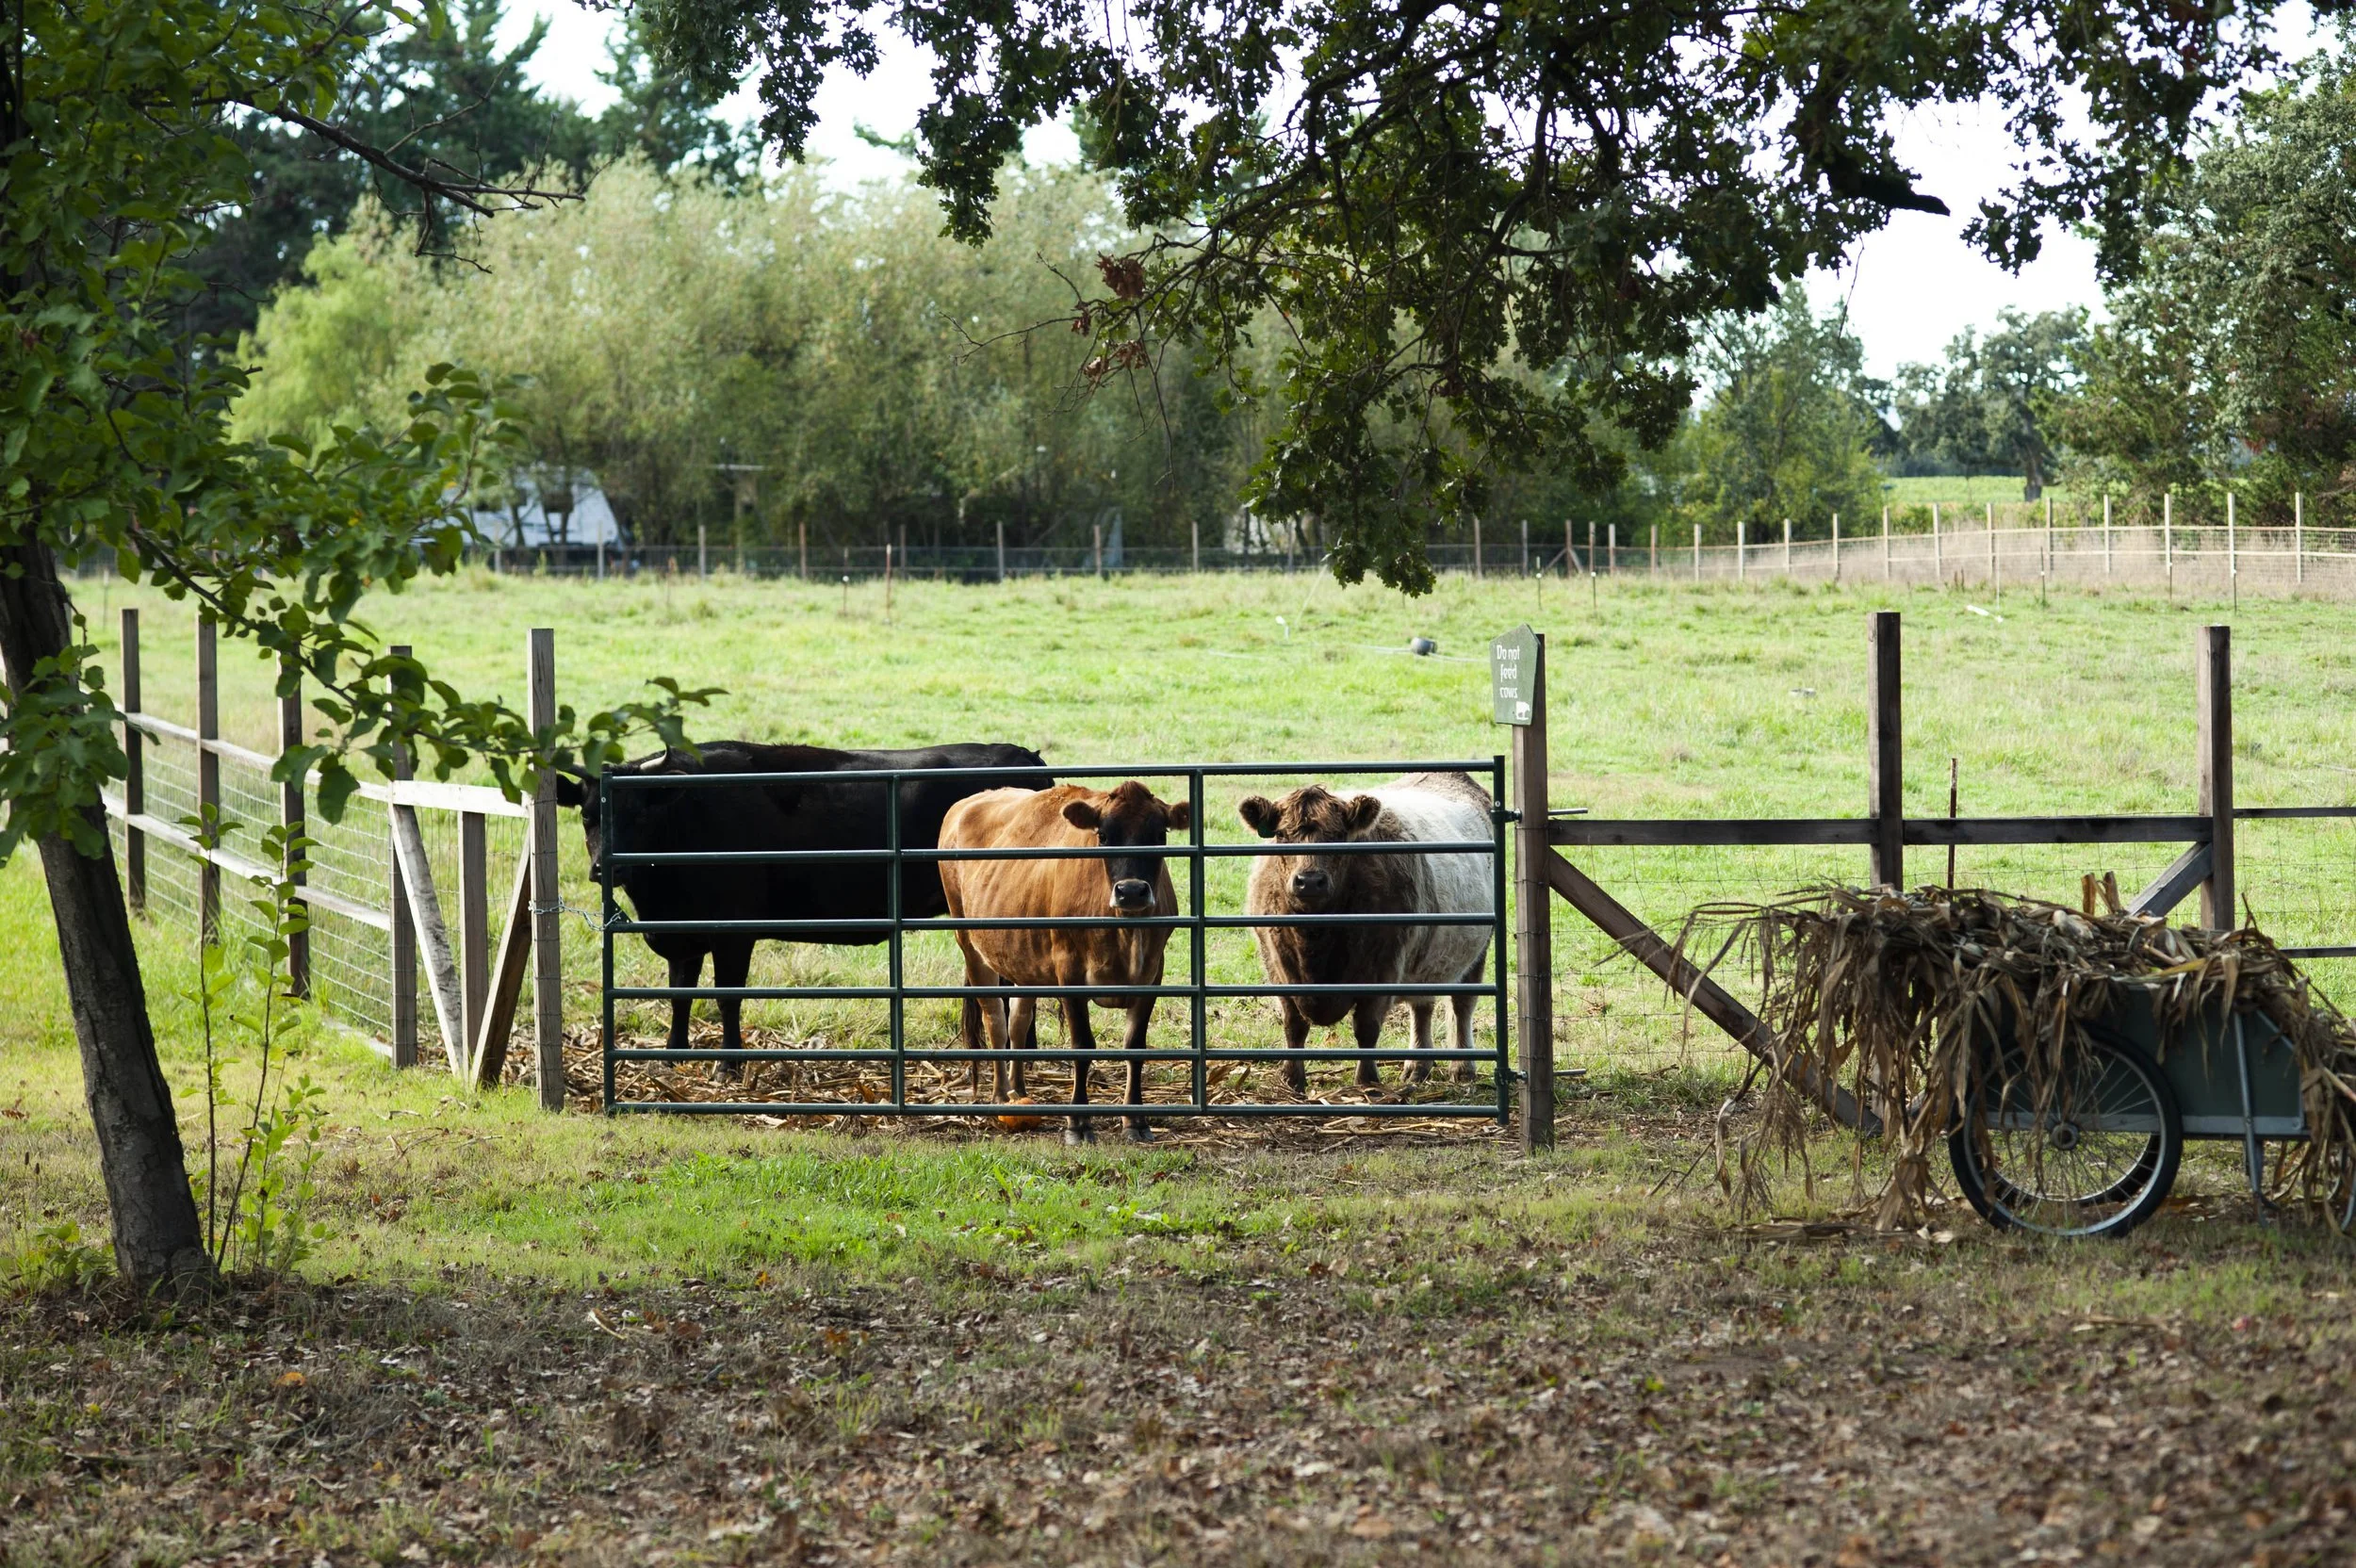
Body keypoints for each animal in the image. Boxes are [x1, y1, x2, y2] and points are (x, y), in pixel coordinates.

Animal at [554, 741, 1051, 1071]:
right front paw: (672, 1054)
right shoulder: (684, 933)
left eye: (639, 814)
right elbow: (680, 993)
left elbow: (726, 996)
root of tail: (1025, 756)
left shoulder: (733, 932)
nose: (605, 868)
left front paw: (729, 1063)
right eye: (587, 815)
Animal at [937, 781, 1190, 1143]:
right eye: (1103, 835)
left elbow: (1135, 1046)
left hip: (1024, 960)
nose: (1131, 891)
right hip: (969, 943)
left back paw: (1018, 1089)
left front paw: (1135, 1120)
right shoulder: (1069, 970)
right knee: (995, 1018)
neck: (1125, 931)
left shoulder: (1153, 972)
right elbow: (1082, 1045)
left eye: (1159, 834)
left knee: (1018, 1019)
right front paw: (1078, 1123)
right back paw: (1000, 1093)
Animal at [1236, 771, 1494, 1093]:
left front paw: (1367, 1081)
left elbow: (1367, 1026)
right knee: (1422, 1006)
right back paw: (1417, 1067)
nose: (1310, 881)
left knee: (1462, 1005)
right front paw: (1292, 1079)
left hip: (1477, 950)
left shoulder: (1383, 966)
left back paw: (1462, 1068)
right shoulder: (1278, 965)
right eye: (1282, 835)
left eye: (1338, 836)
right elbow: (1294, 1023)